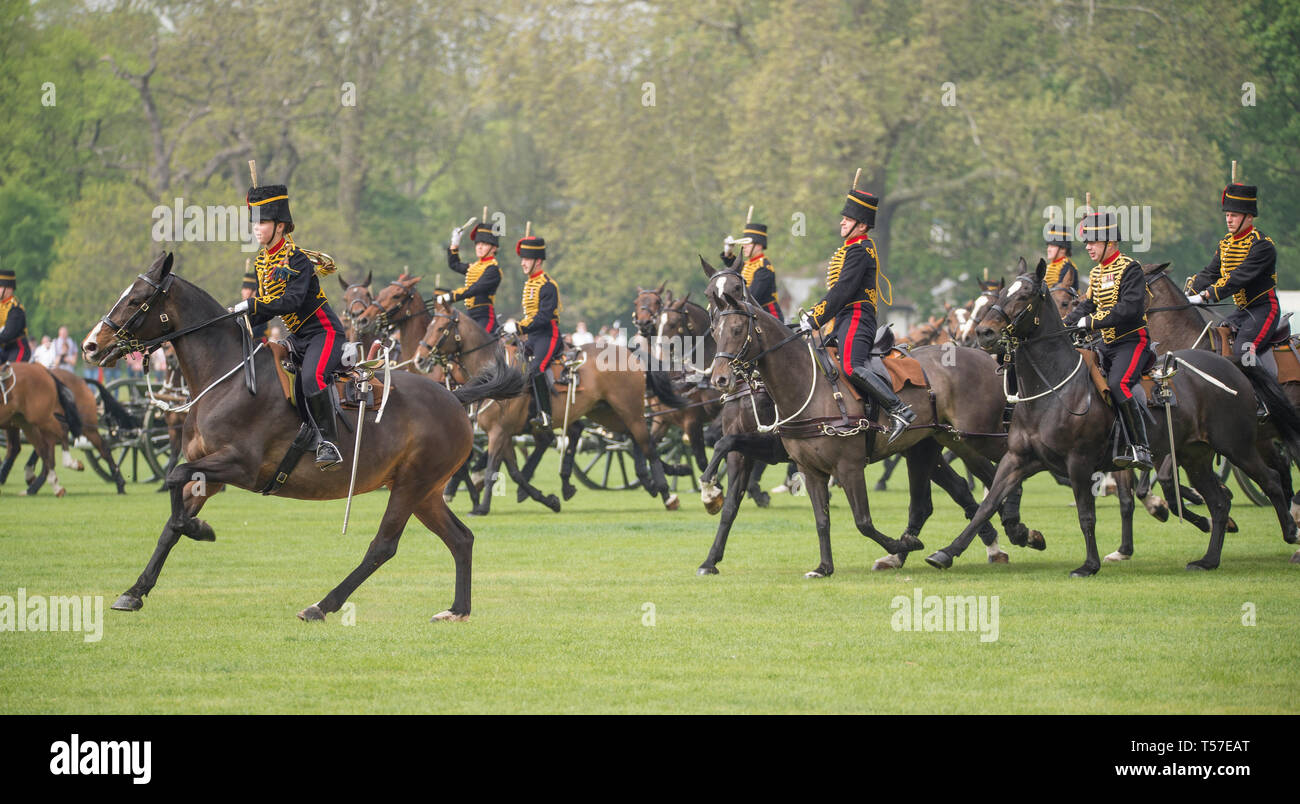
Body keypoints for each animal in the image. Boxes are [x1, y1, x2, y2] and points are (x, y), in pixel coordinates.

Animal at [77, 249, 517, 619]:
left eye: (136, 299)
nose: (90, 345)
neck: (227, 377)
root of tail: (454, 397)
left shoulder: (239, 466)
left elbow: (174, 479)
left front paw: (201, 530)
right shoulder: (209, 474)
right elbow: (171, 523)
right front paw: (135, 591)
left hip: (411, 486)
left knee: (382, 547)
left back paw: (323, 605)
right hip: (423, 492)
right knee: (461, 539)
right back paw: (457, 609)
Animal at [413, 295, 691, 512]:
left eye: (441, 327)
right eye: (428, 325)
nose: (419, 359)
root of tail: (627, 351)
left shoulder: (499, 432)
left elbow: (494, 468)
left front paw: (481, 506)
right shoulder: (504, 434)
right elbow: (513, 472)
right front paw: (548, 500)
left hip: (630, 410)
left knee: (646, 444)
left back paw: (667, 493)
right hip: (607, 413)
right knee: (630, 440)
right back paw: (655, 479)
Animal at [702, 260, 1034, 572]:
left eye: (736, 329)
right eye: (714, 328)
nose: (719, 378)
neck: (806, 382)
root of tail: (984, 357)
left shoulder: (836, 462)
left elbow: (862, 520)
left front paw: (709, 490)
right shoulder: (771, 455)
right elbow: (732, 496)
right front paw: (711, 547)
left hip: (976, 437)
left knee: (998, 473)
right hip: (936, 443)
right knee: (957, 491)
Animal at [935, 253, 1300, 572]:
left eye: (1025, 295)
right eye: (1002, 293)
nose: (983, 333)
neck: (1052, 388)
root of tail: (1232, 366)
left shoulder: (1080, 462)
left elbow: (1088, 514)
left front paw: (1089, 564)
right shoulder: (1019, 460)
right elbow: (987, 505)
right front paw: (948, 551)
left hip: (1237, 445)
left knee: (1271, 479)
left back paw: (1291, 531)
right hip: (1197, 455)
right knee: (1222, 499)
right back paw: (1209, 559)